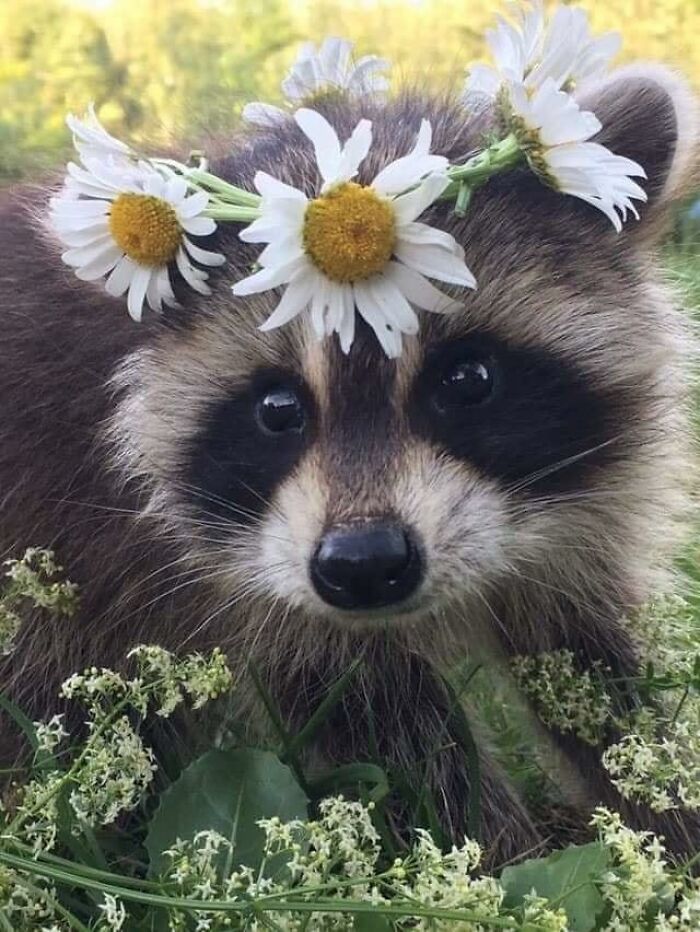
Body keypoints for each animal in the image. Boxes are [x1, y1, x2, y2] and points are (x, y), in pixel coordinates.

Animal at [1, 65, 700, 868]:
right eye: (277, 408)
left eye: (468, 380)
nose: (363, 565)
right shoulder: (232, 581)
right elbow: (389, 734)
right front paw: (495, 867)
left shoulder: (577, 518)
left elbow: (588, 669)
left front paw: (662, 813)